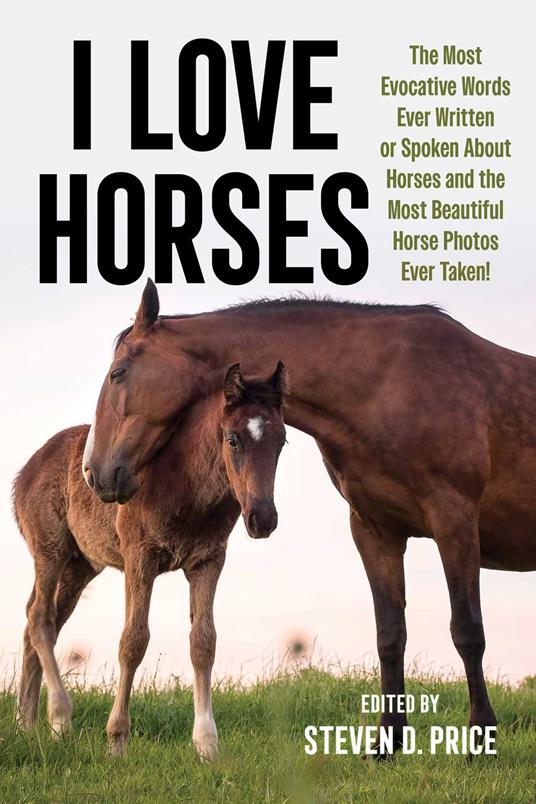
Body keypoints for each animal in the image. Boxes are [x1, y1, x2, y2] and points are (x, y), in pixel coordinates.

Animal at [13, 361, 288, 758]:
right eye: (233, 439)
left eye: (281, 441)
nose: (263, 519)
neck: (186, 483)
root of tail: (24, 473)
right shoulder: (139, 558)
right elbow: (133, 641)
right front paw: (117, 740)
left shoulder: (208, 560)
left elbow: (203, 642)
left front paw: (207, 745)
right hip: (50, 550)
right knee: (39, 618)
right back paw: (60, 717)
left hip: (80, 566)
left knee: (38, 621)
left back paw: (27, 723)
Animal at [84, 280, 536, 753]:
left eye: (117, 374)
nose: (94, 472)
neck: (392, 385)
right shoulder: (375, 532)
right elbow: (390, 634)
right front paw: (386, 743)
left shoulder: (455, 523)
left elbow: (467, 631)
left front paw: (481, 737)